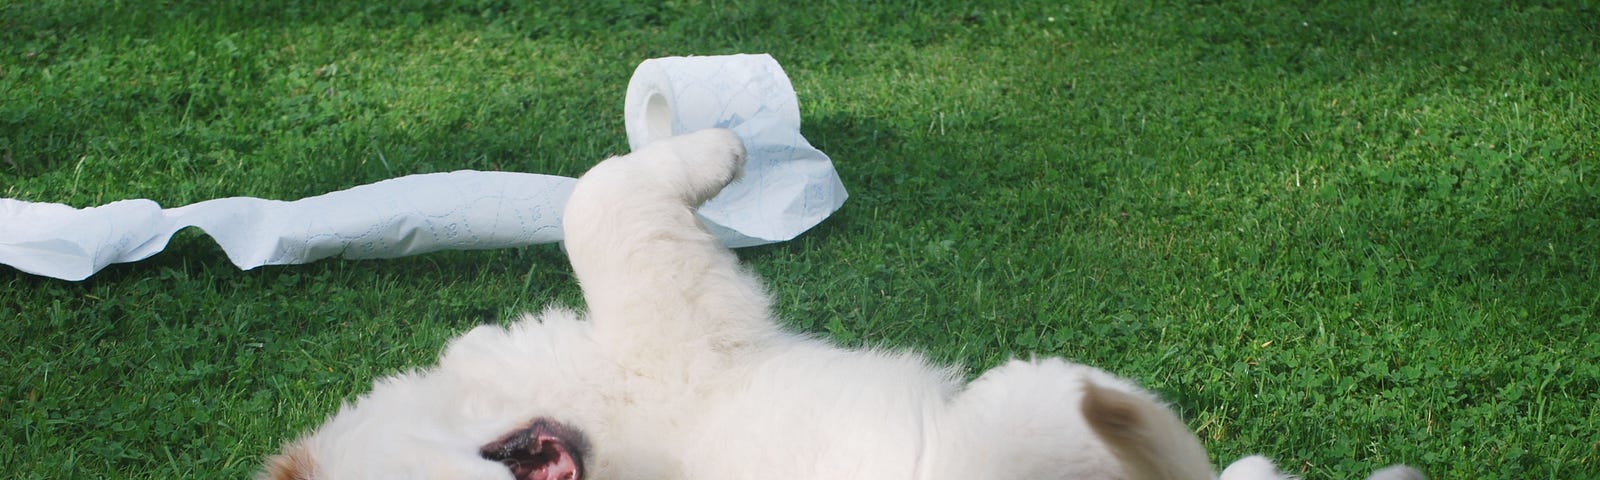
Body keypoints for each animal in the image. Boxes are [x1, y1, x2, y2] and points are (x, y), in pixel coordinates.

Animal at [262, 128, 1427, 480]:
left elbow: (599, 191)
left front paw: (709, 145)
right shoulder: (679, 330)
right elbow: (600, 202)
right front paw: (719, 149)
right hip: (1025, 406)